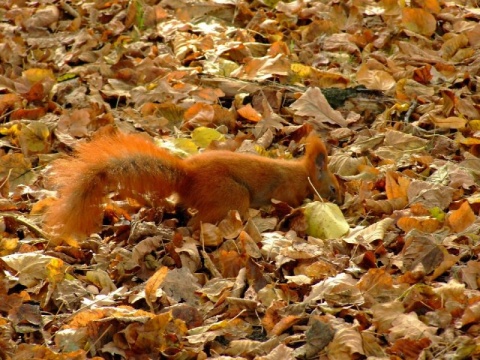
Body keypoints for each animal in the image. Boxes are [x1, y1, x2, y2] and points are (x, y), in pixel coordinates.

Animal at [43, 131, 340, 239]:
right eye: (334, 188)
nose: (339, 201)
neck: (303, 175)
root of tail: (189, 175)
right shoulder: (285, 192)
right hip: (231, 196)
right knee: (200, 221)